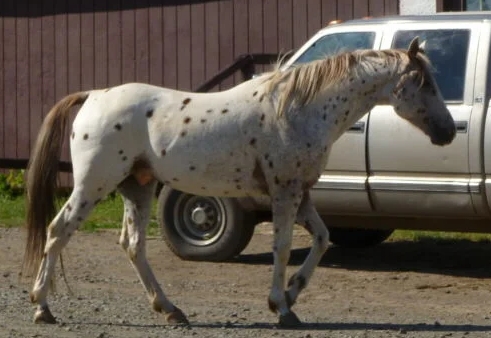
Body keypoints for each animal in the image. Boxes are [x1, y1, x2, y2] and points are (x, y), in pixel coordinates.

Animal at [22, 37, 454, 328]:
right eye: (426, 84)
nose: (448, 131)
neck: (301, 109)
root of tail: (94, 95)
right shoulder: (285, 193)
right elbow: (283, 248)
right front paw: (282, 307)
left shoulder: (301, 193)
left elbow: (321, 239)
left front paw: (291, 293)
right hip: (93, 185)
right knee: (58, 231)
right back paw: (42, 307)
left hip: (137, 187)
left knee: (133, 246)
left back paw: (170, 310)